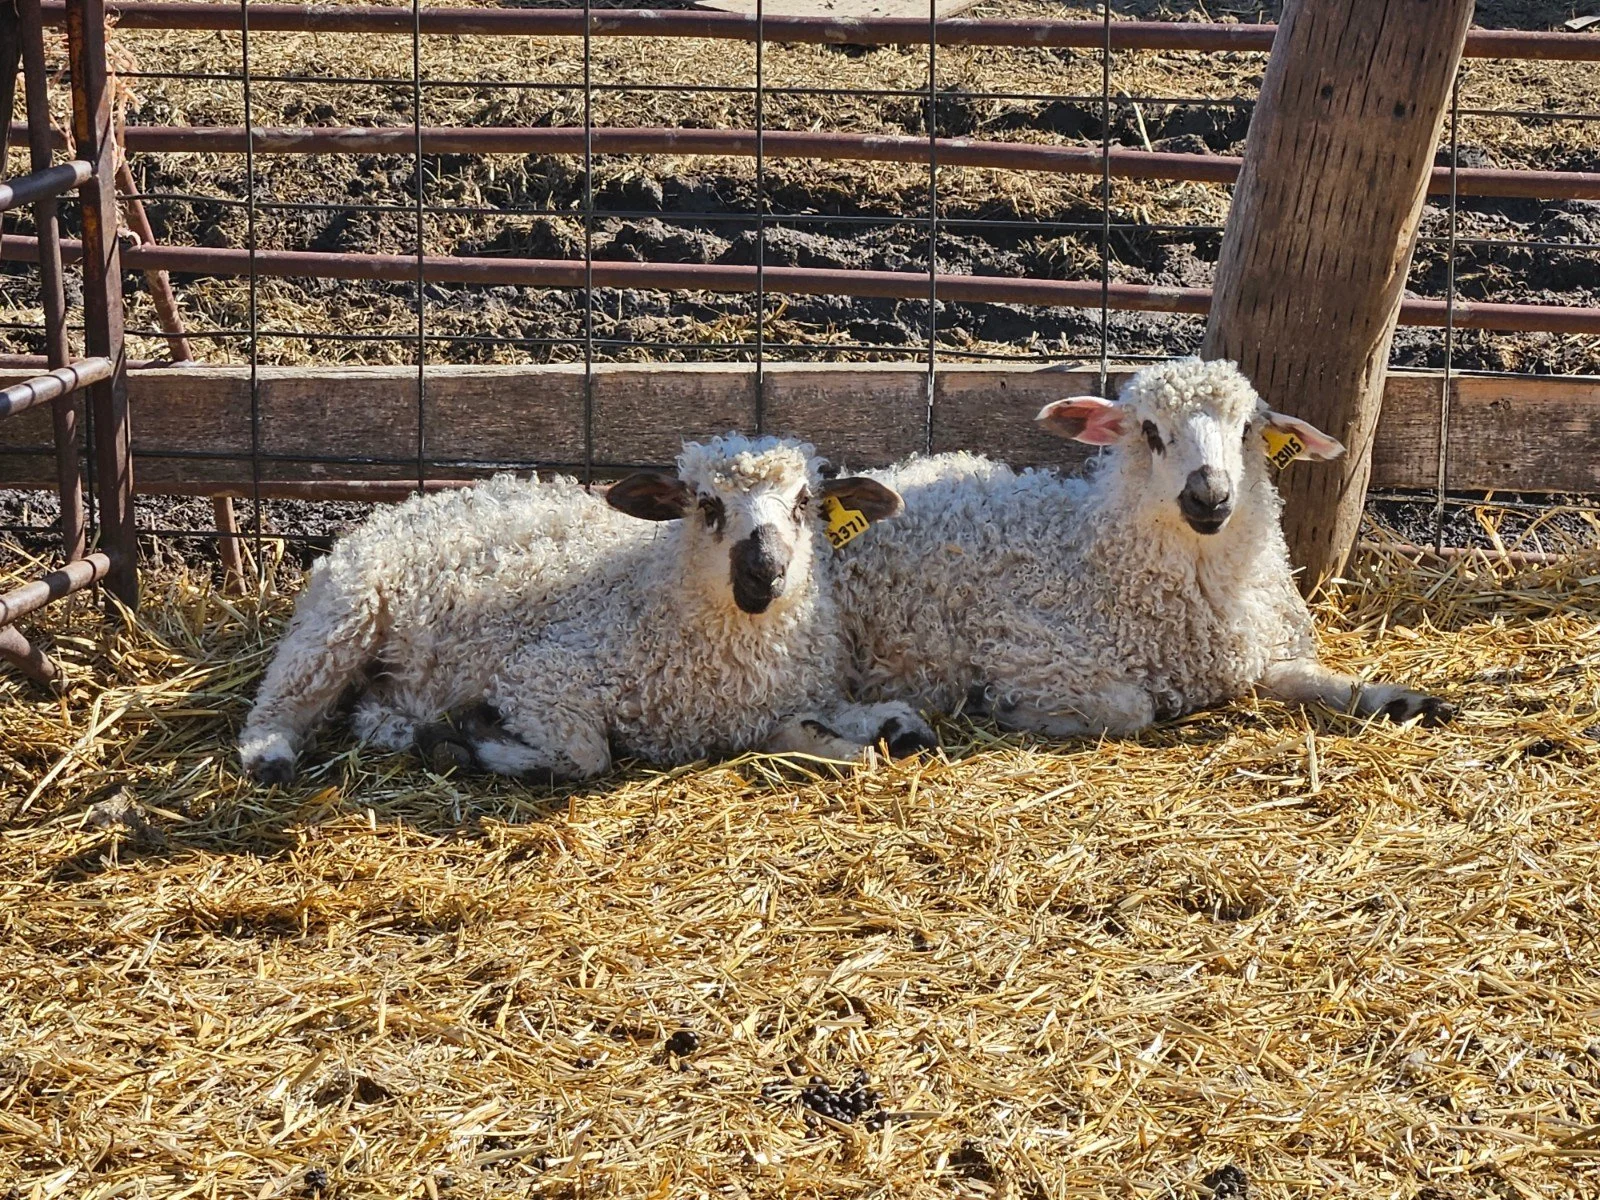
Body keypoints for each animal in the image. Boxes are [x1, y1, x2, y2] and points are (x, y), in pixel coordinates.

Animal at [238, 434, 938, 784]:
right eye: (707, 505)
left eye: (802, 503)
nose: (765, 571)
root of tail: (405, 507)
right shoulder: (540, 675)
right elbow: (586, 756)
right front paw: (489, 739)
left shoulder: (773, 707)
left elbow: (845, 737)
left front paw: (892, 725)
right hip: (342, 618)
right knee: (279, 705)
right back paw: (276, 757)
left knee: (369, 712)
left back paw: (419, 735)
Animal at [831, 357, 1453, 737]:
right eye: (1151, 433)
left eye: (1247, 431)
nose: (1210, 495)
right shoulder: (1030, 648)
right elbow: (1132, 707)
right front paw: (1011, 705)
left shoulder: (1250, 651)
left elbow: (1303, 675)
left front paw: (1397, 698)